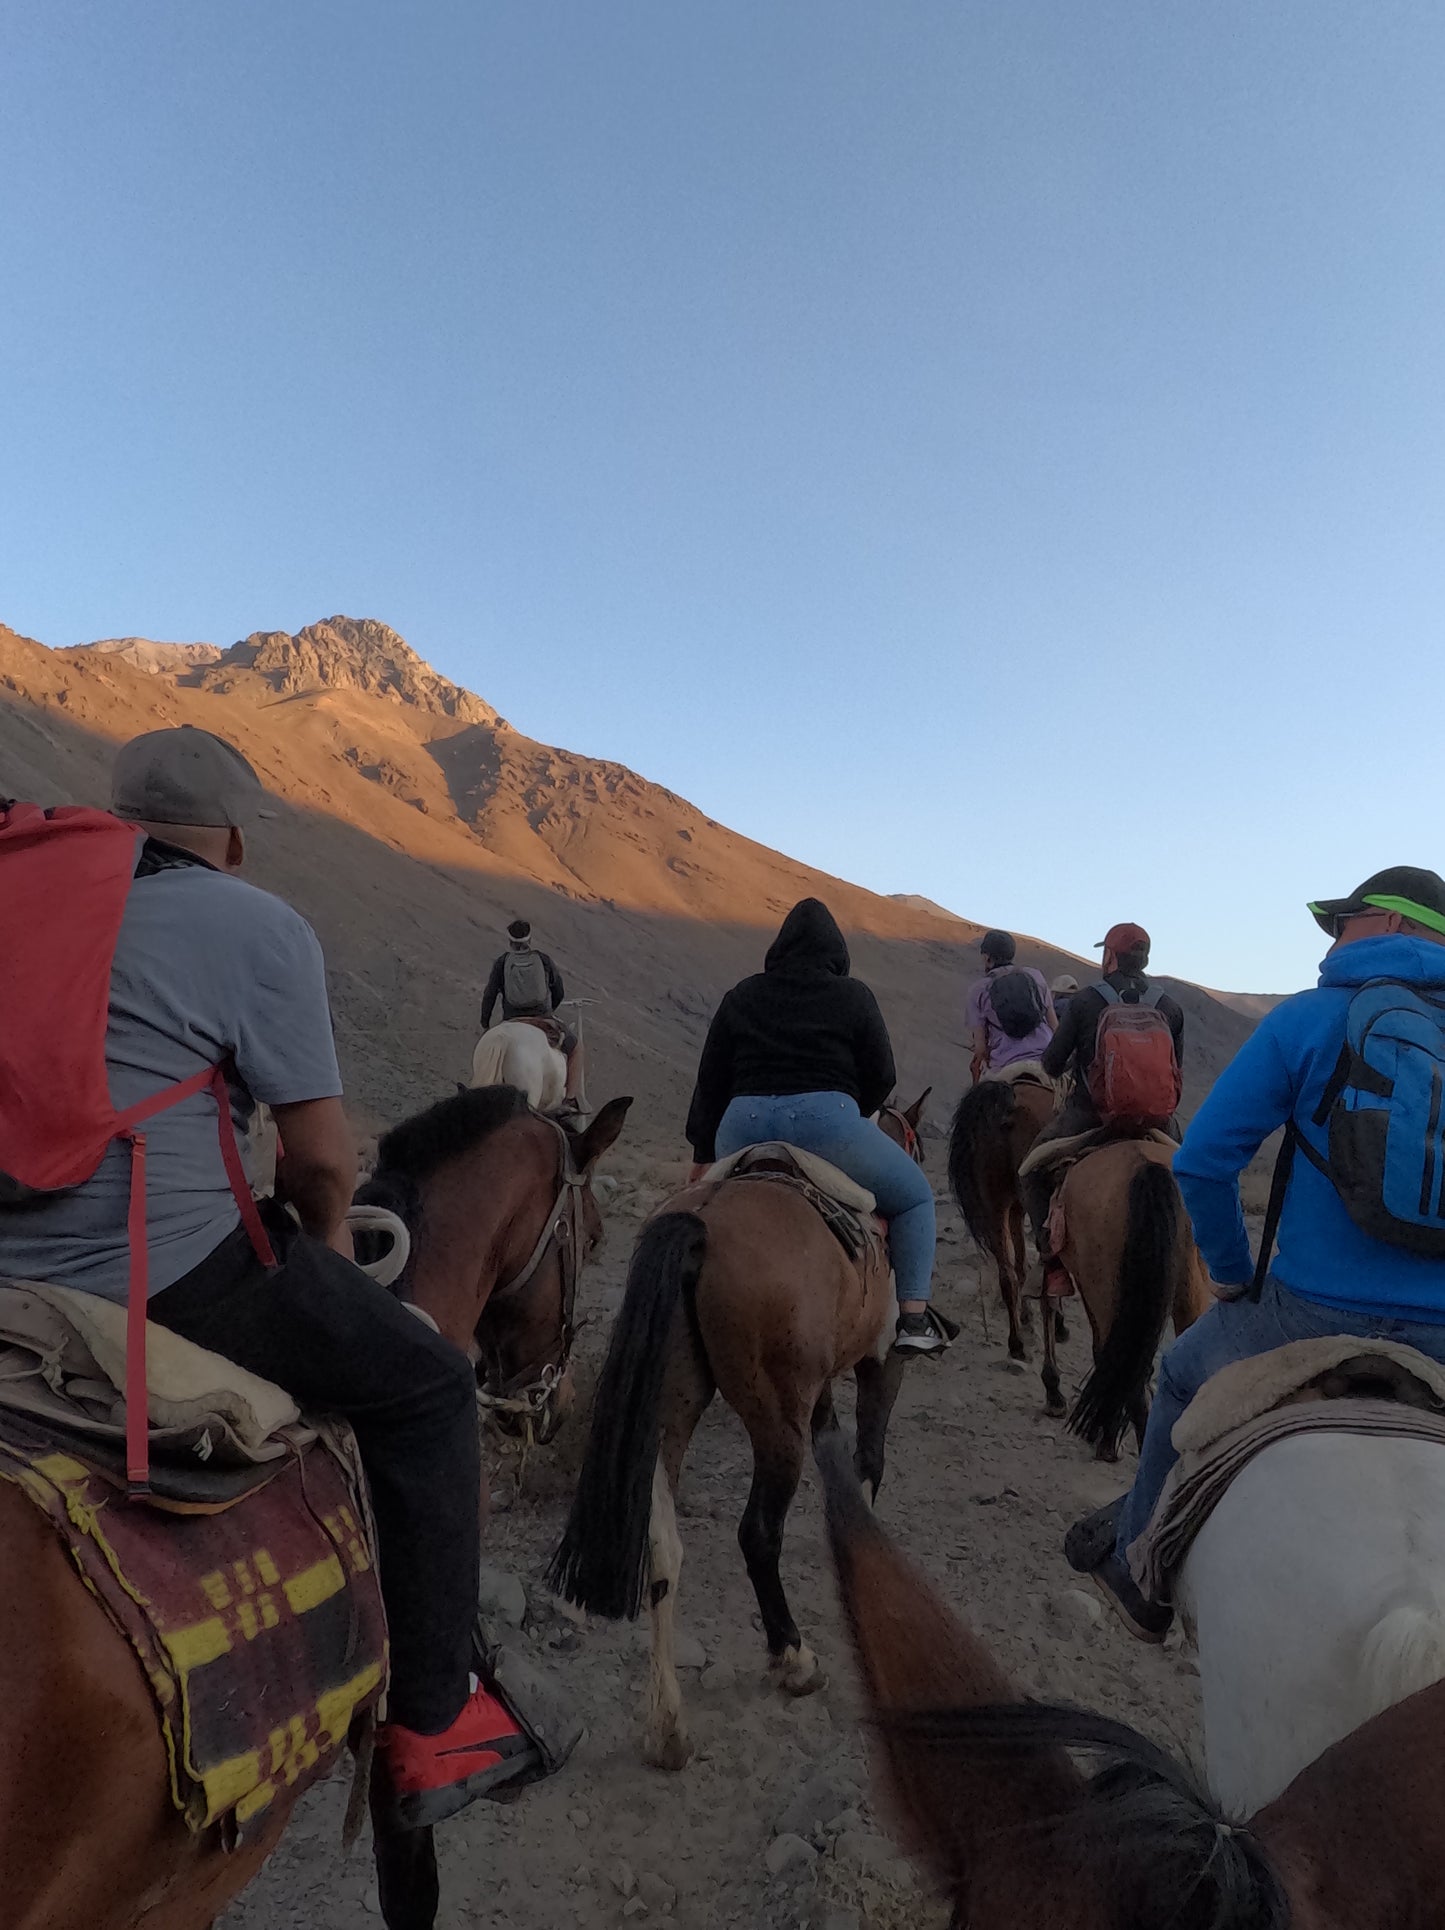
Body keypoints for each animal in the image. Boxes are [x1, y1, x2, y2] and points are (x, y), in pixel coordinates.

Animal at [547, 1150, 902, 1767]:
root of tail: (702, 1221)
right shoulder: (879, 1358)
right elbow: (869, 1454)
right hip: (774, 1420)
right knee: (758, 1533)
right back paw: (794, 1660)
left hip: (672, 1403)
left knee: (662, 1548)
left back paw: (667, 1728)